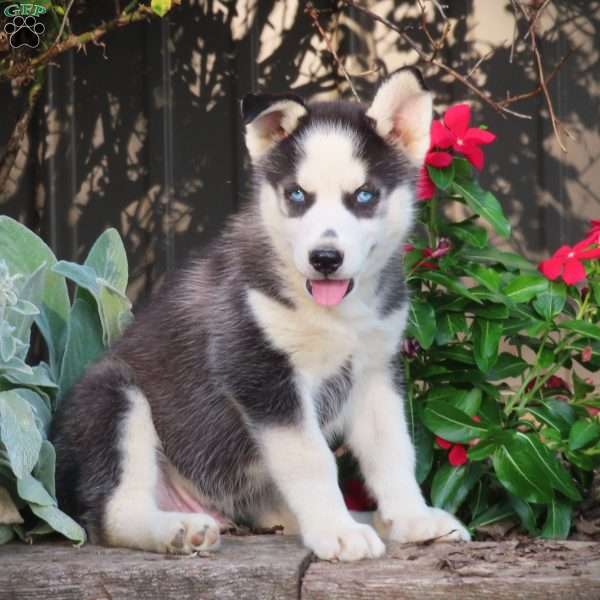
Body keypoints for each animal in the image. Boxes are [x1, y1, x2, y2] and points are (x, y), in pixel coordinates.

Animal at [51, 69, 472, 564]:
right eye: (297, 195)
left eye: (364, 195)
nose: (324, 258)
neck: (336, 316)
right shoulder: (258, 368)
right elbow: (311, 458)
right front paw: (337, 532)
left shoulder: (373, 371)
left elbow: (393, 451)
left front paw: (412, 518)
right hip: (114, 398)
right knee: (112, 515)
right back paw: (178, 529)